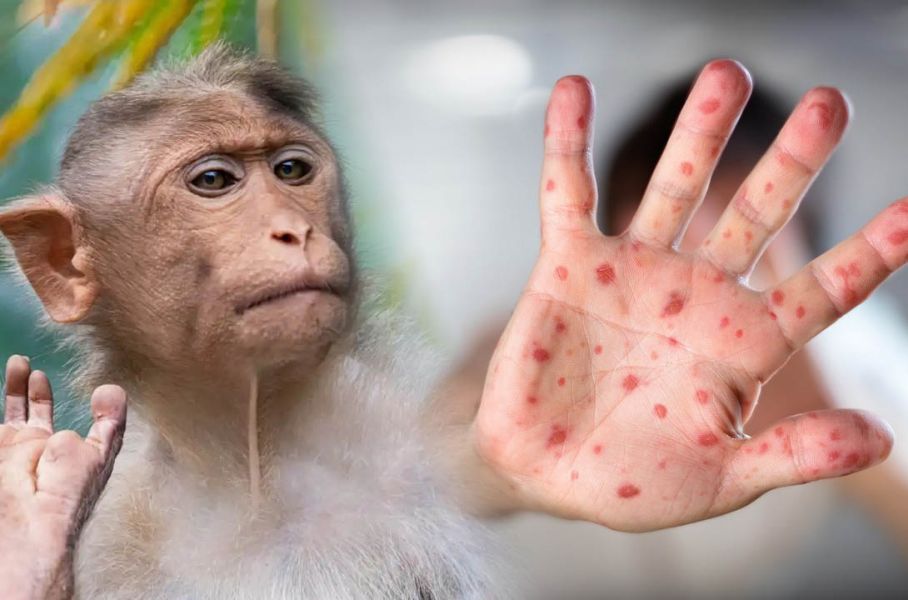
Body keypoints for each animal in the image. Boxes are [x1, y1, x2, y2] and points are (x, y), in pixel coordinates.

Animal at [1, 48, 906, 599]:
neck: (252, 462)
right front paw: (32, 514)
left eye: (292, 171)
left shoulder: (420, 441)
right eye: (215, 182)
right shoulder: (116, 532)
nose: (292, 229)